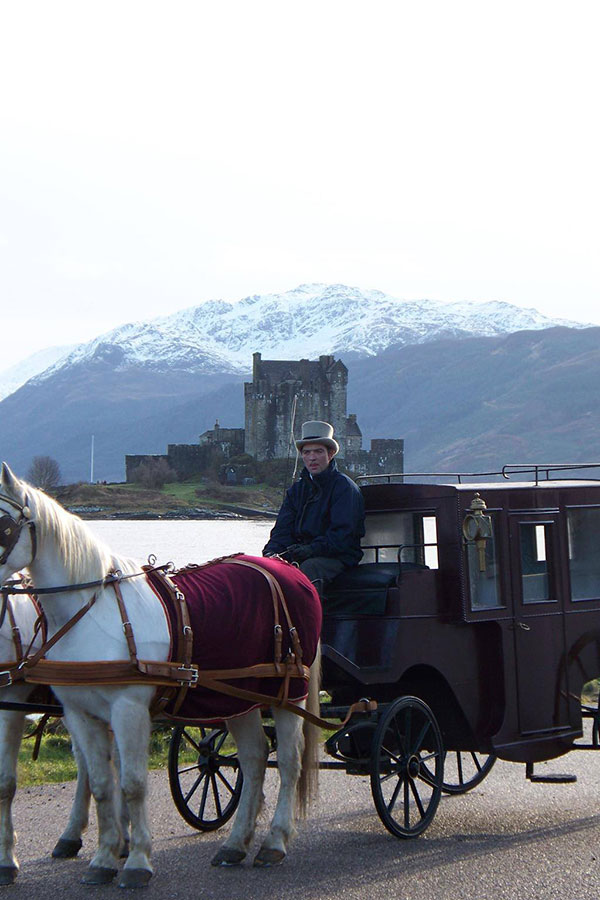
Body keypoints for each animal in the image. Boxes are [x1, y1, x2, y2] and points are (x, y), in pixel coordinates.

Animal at [0, 464, 322, 884]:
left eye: (3, 525)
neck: (93, 608)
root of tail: (290, 570)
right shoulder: (80, 712)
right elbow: (102, 784)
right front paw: (104, 859)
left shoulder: (127, 707)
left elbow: (133, 784)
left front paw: (136, 861)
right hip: (239, 697)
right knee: (254, 759)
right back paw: (235, 844)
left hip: (287, 692)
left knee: (287, 762)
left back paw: (275, 841)